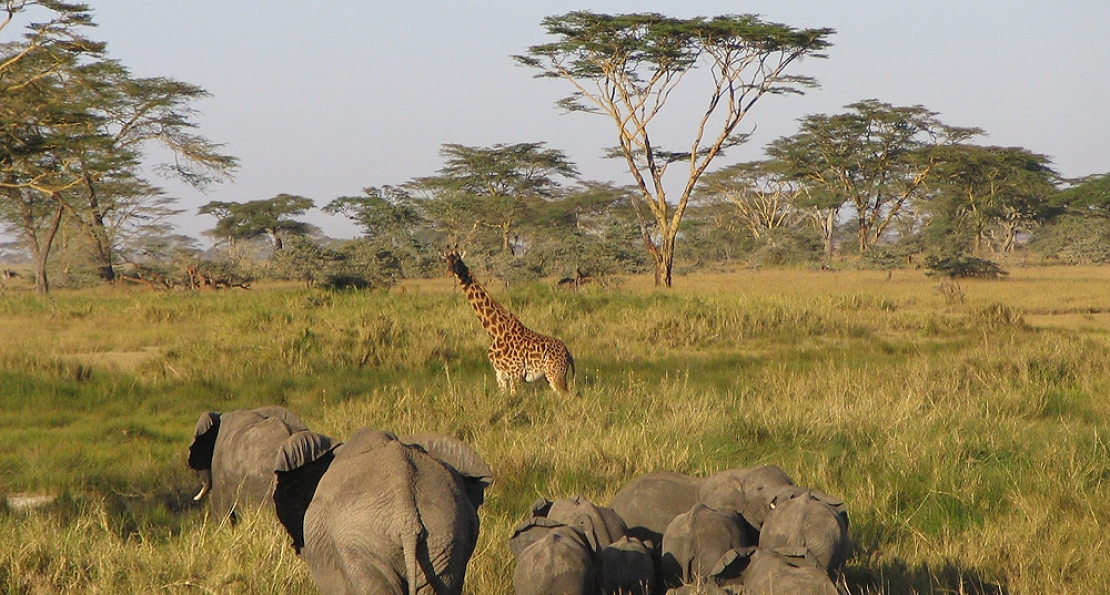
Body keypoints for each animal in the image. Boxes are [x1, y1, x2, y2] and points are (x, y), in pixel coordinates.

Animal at [441, 246, 577, 395]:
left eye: (458, 260)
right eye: (446, 260)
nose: (449, 272)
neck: (494, 331)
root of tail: (568, 353)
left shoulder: (515, 374)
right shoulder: (500, 375)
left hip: (555, 375)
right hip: (550, 377)